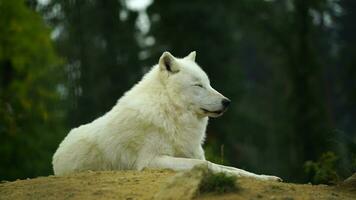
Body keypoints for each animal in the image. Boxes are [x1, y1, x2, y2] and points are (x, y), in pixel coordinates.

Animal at [52, 51, 280, 181]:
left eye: (208, 83)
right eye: (198, 85)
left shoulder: (191, 154)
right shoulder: (151, 161)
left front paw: (266, 177)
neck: (170, 111)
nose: (227, 102)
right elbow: (208, 165)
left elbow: (231, 166)